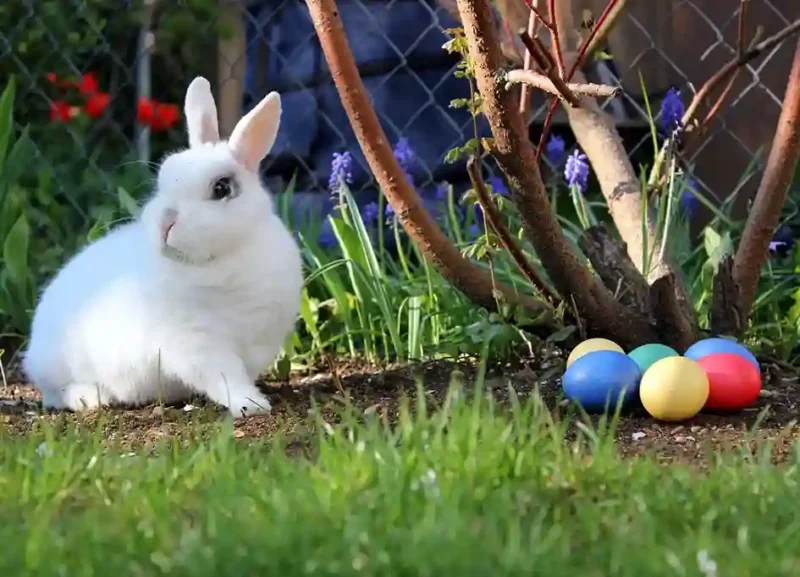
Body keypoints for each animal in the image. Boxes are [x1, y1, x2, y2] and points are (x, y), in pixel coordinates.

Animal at [21, 77, 304, 418]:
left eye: (221, 188)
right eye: (164, 177)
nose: (165, 223)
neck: (224, 258)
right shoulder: (194, 344)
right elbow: (224, 376)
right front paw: (251, 404)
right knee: (56, 393)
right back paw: (88, 398)